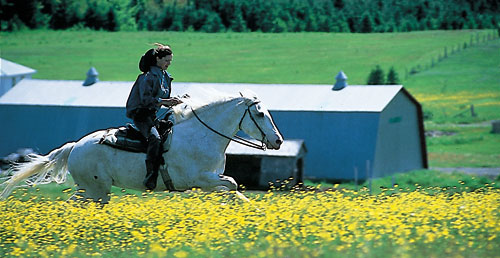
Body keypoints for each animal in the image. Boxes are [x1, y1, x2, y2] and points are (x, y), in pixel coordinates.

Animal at [0, 90, 284, 204]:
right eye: (260, 114)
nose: (278, 141)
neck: (202, 136)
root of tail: (74, 147)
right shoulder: (201, 179)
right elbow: (233, 185)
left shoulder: (211, 181)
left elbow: (234, 190)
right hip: (96, 190)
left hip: (90, 191)